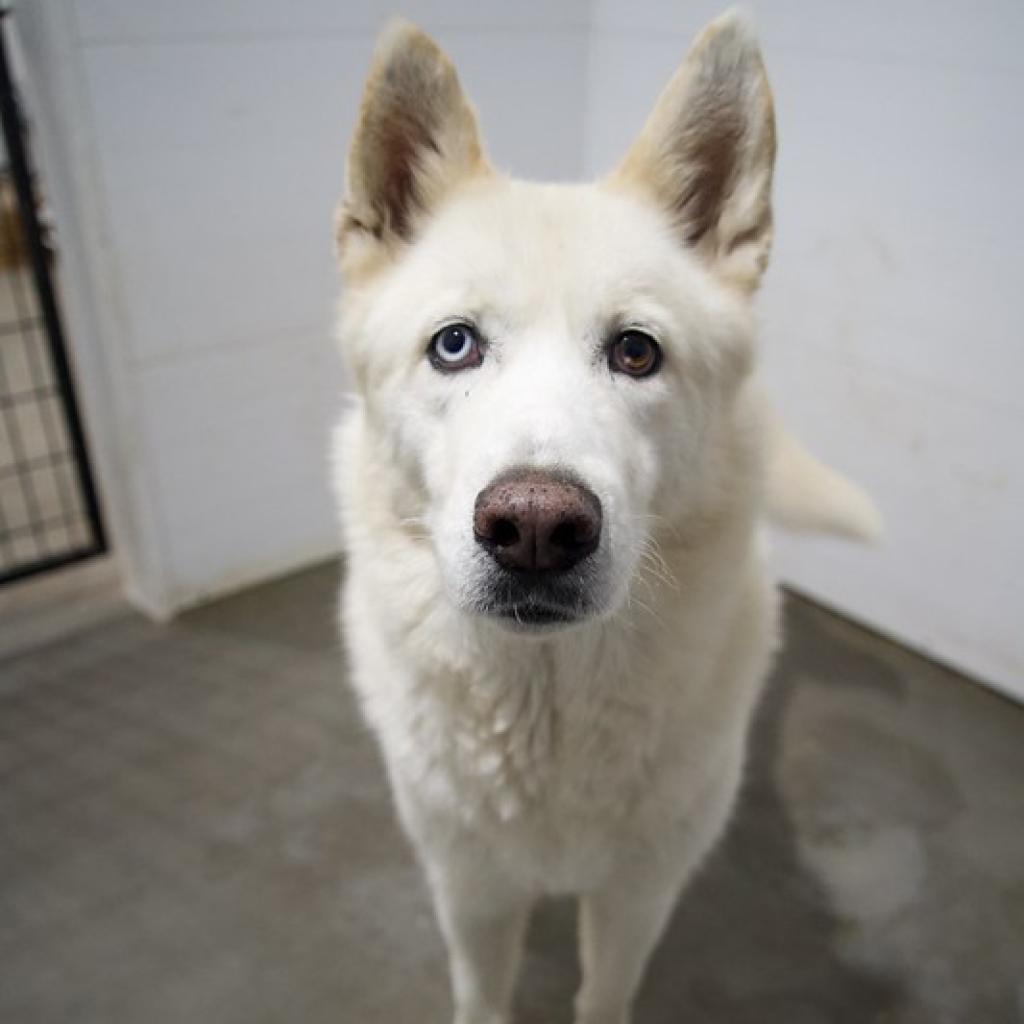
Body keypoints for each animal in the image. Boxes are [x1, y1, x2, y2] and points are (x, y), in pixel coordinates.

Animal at [331, 9, 876, 1024]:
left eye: (636, 352)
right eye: (454, 346)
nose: (536, 529)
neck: (547, 713)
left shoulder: (636, 901)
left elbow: (603, 993)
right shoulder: (470, 896)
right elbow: (483, 997)